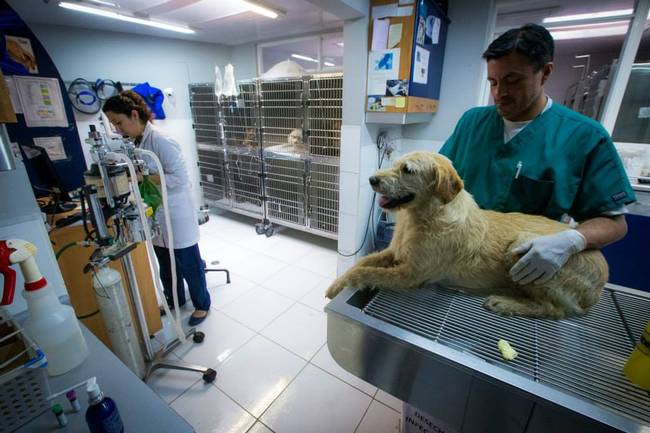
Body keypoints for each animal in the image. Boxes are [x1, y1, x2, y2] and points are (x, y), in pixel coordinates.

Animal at [326, 151, 604, 318]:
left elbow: (367, 272)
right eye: (394, 164)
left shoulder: (410, 274)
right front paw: (336, 285)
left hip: (528, 252)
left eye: (408, 170)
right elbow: (361, 264)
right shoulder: (394, 252)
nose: (372, 179)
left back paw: (506, 303)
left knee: (553, 309)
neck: (422, 217)